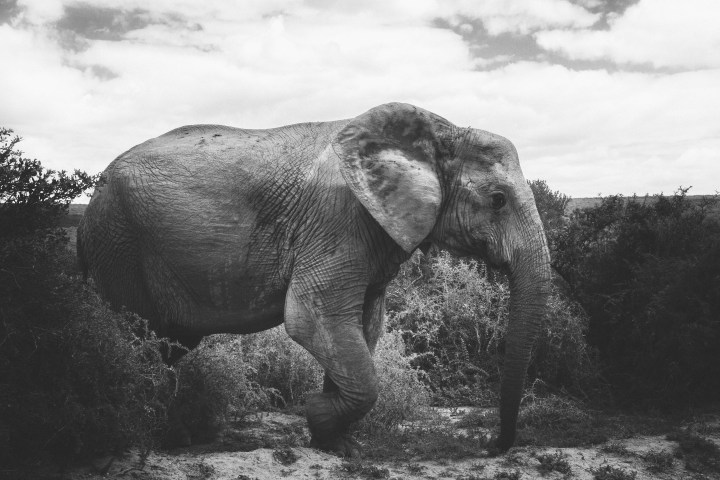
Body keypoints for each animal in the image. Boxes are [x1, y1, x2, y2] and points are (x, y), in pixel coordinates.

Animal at [77, 102, 551, 456]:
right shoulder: (339, 220)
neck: (439, 132)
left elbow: (362, 328)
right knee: (136, 336)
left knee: (168, 343)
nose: (491, 446)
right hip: (116, 238)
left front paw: (337, 444)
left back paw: (177, 436)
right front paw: (320, 415)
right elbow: (313, 318)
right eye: (498, 200)